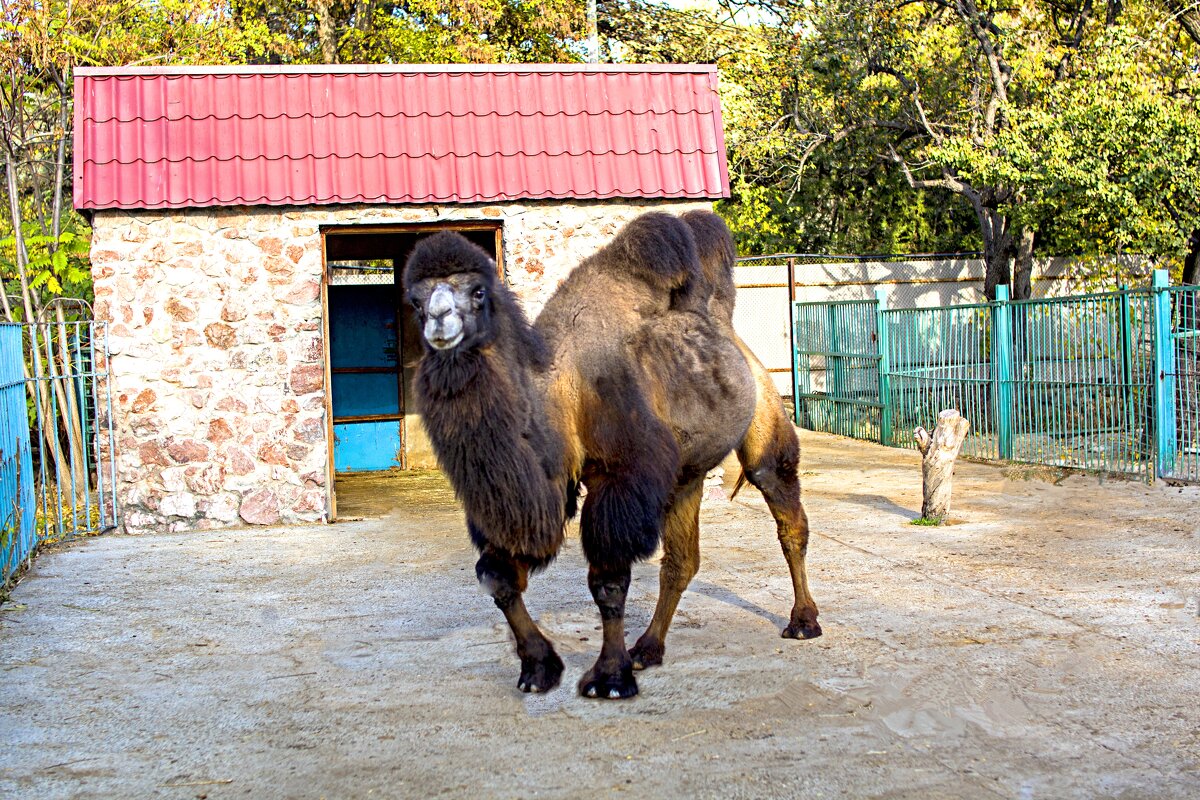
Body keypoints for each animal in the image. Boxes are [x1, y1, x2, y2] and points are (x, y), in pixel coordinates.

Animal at [403, 212, 816, 700]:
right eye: (415, 300)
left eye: (478, 291)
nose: (439, 320)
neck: (562, 390)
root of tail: (734, 338)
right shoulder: (536, 495)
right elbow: (497, 575)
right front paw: (539, 668)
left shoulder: (621, 476)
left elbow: (608, 581)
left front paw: (609, 678)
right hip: (685, 472)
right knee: (681, 561)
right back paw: (649, 649)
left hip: (764, 415)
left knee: (784, 510)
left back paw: (803, 622)